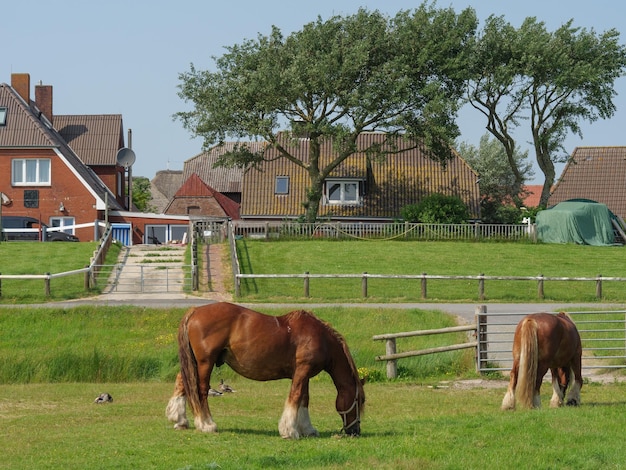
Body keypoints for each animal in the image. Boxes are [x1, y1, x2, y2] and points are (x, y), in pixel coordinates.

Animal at [165, 302, 366, 438]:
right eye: (359, 400)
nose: (355, 431)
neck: (320, 338)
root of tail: (195, 310)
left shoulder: (304, 374)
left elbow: (304, 399)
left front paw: (307, 429)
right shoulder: (303, 371)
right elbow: (295, 396)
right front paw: (289, 431)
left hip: (194, 362)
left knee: (182, 382)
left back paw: (180, 420)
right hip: (205, 363)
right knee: (200, 390)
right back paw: (207, 424)